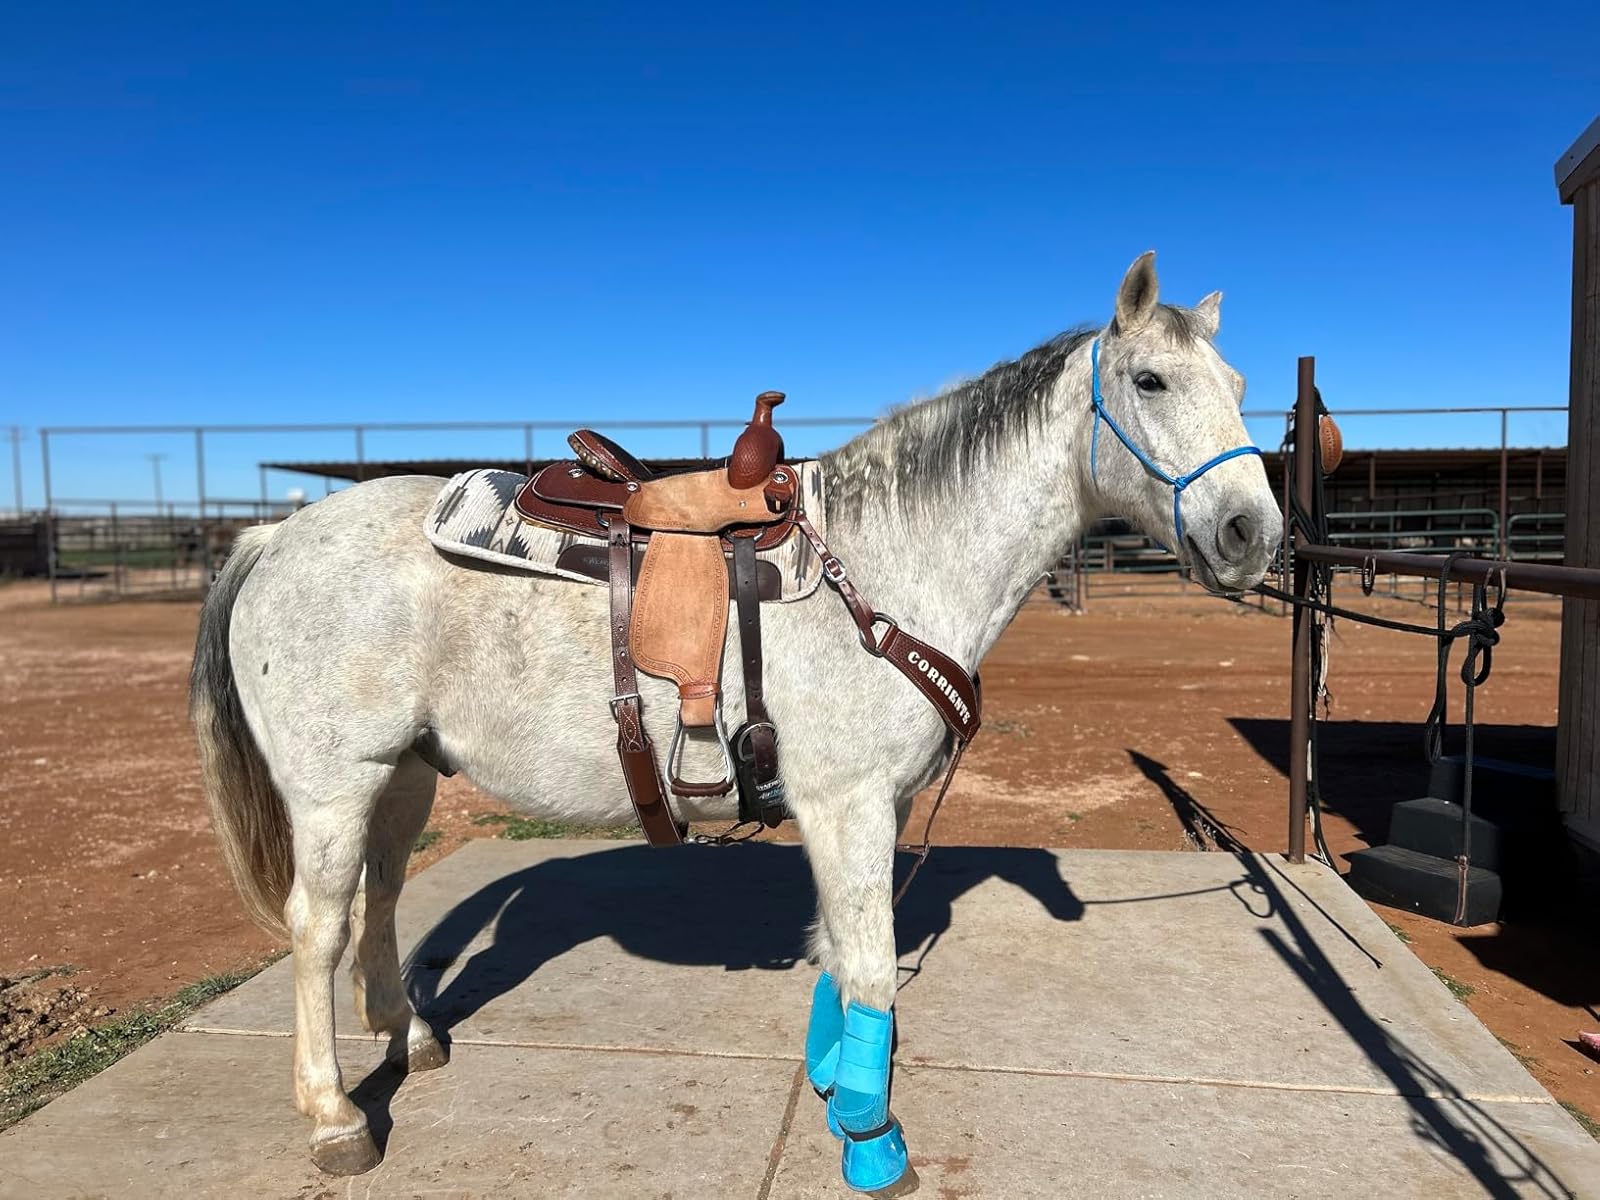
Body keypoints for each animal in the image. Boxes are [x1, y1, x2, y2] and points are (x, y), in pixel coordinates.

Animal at [189, 252, 1282, 1188]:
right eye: (1149, 381)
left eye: (1235, 380)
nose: (1253, 534)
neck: (884, 561)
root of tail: (274, 533)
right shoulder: (848, 804)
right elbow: (872, 970)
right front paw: (872, 1139)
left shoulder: (865, 810)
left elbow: (839, 956)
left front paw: (836, 1090)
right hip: (333, 785)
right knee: (319, 923)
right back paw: (335, 1116)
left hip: (404, 774)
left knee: (378, 898)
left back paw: (409, 1034)